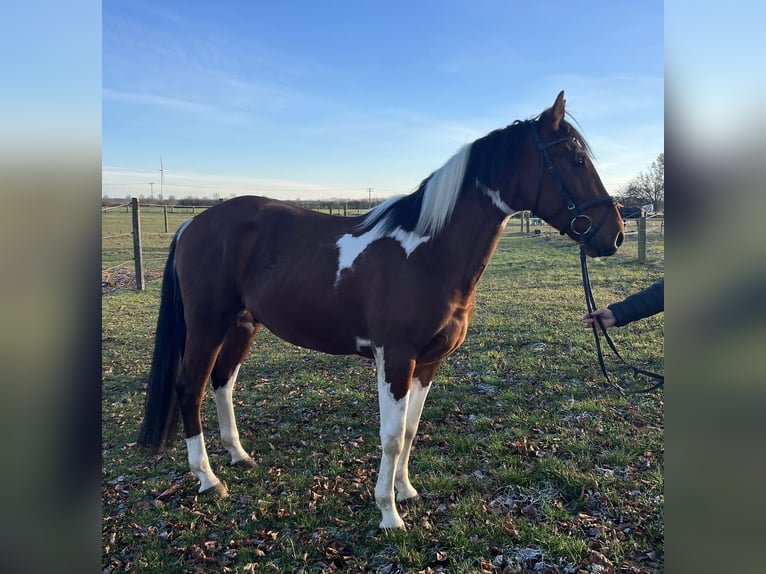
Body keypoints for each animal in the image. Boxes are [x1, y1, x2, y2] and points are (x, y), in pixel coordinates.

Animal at [137, 91, 625, 529]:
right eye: (575, 161)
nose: (615, 234)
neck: (428, 253)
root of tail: (193, 222)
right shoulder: (396, 357)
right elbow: (390, 437)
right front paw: (389, 513)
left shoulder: (428, 361)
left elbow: (409, 430)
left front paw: (405, 491)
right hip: (207, 325)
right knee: (190, 387)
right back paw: (208, 478)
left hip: (243, 324)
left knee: (223, 381)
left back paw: (239, 456)